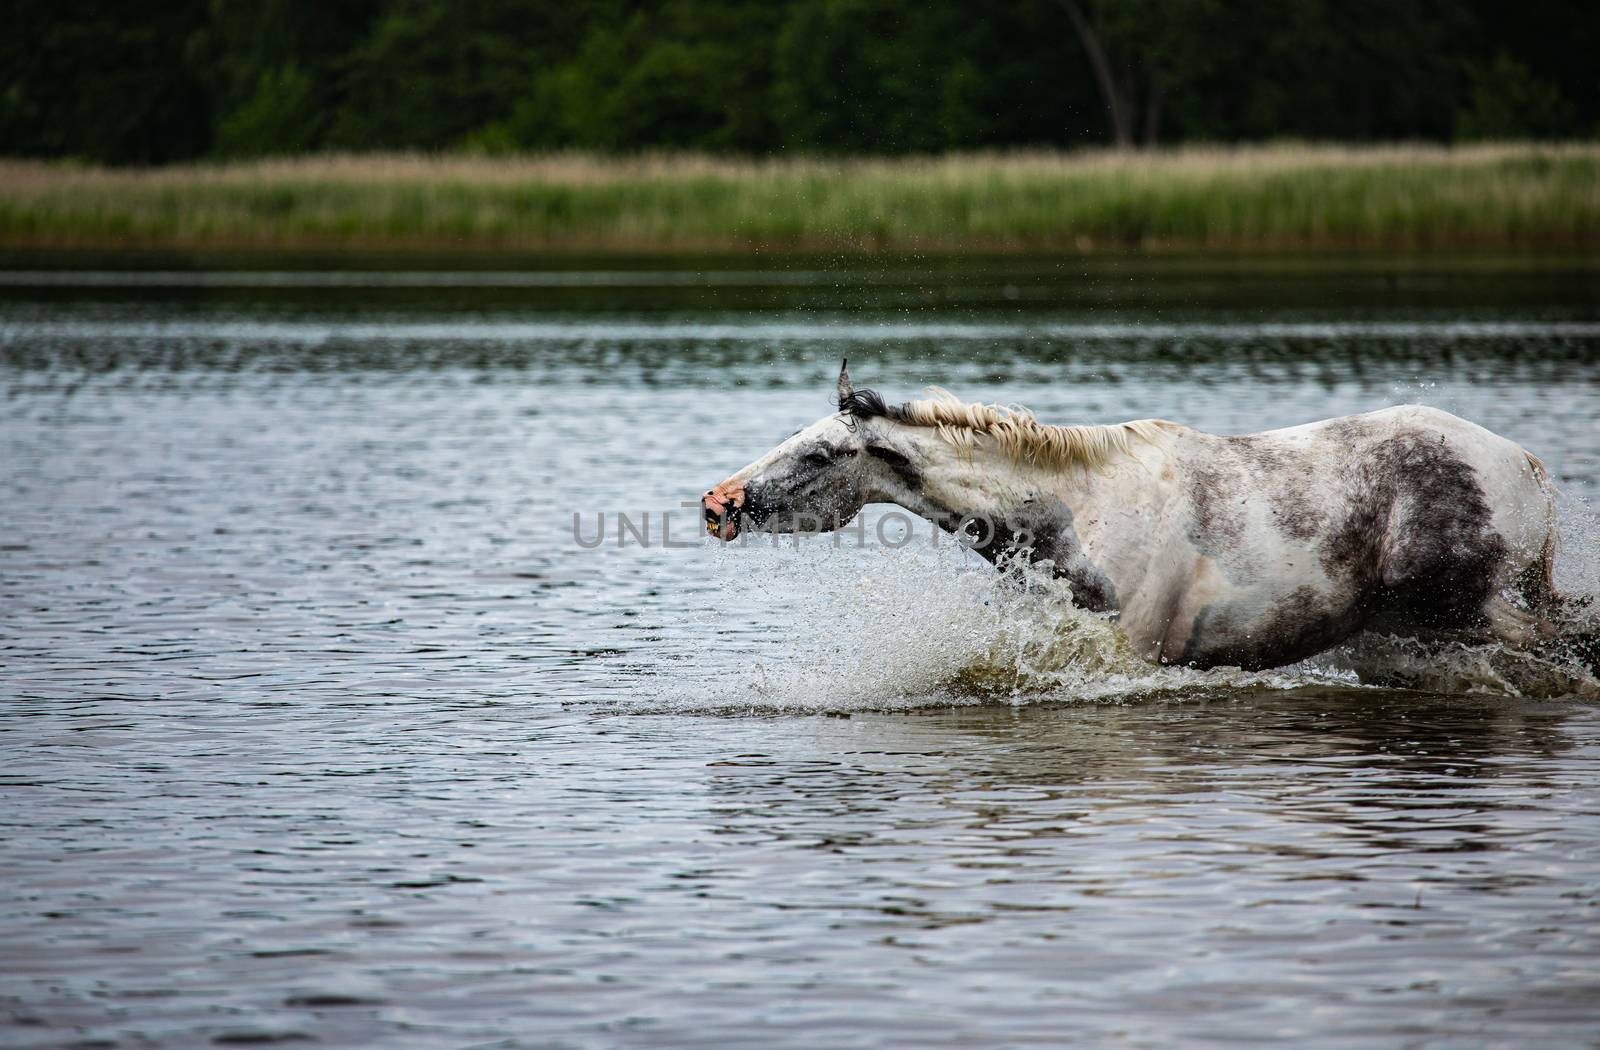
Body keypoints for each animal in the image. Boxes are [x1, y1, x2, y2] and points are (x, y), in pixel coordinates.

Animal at [700, 361, 1561, 672]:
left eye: (820, 456)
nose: (718, 503)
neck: (1074, 512)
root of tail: (1523, 464)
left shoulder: (1138, 651)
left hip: (1469, 609)